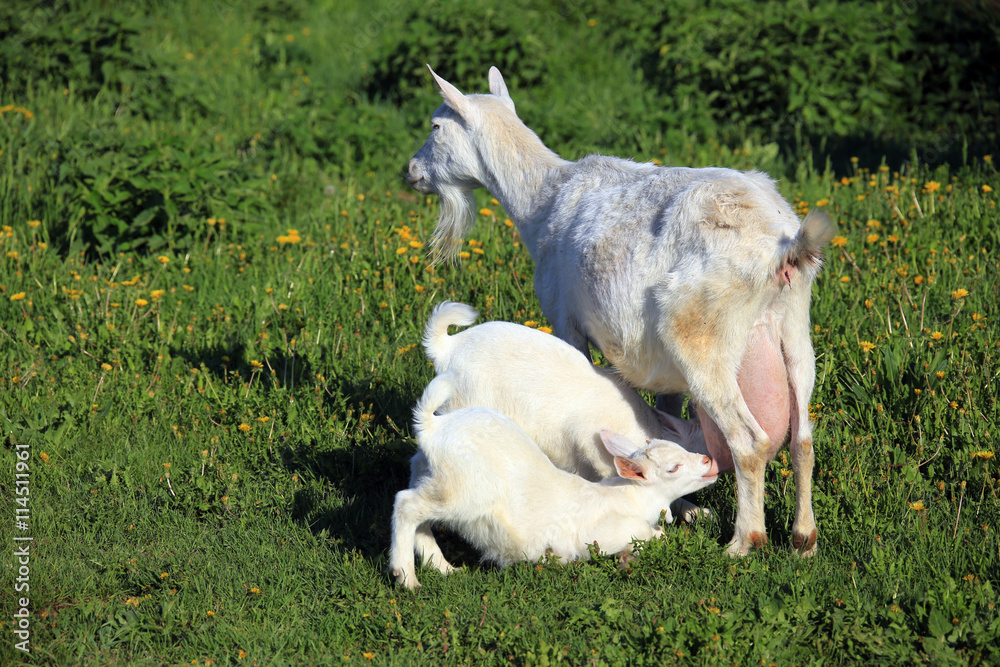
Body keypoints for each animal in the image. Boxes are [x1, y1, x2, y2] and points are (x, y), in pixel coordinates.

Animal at [389, 372, 716, 589]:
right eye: (673, 468)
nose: (708, 462)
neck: (631, 498)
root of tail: (432, 426)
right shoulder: (601, 534)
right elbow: (649, 534)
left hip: (428, 473)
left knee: (420, 517)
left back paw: (443, 568)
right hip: (464, 491)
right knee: (407, 504)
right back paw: (406, 576)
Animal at [406, 66, 835, 556]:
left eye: (436, 126)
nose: (412, 172)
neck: (544, 199)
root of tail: (784, 248)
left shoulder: (564, 317)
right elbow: (668, 421)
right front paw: (683, 504)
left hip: (702, 337)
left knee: (750, 441)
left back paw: (744, 541)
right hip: (795, 330)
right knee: (803, 437)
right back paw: (804, 539)